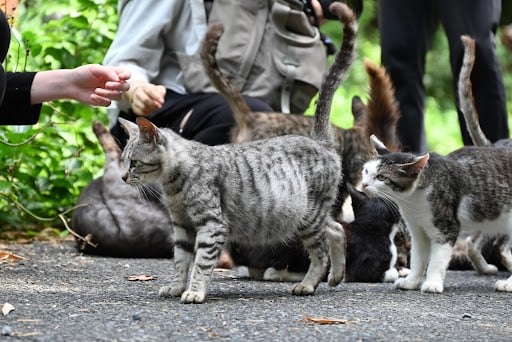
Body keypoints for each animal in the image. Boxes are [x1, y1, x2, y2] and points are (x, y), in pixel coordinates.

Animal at [118, 2, 358, 302]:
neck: (173, 185)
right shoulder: (182, 226)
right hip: (310, 216)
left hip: (308, 216)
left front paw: (194, 291)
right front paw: (176, 286)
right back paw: (336, 276)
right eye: (124, 161)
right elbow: (180, 261)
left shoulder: (211, 224)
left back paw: (308, 284)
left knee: (322, 250)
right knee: (337, 230)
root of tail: (319, 140)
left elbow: (200, 263)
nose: (123, 178)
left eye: (134, 163)